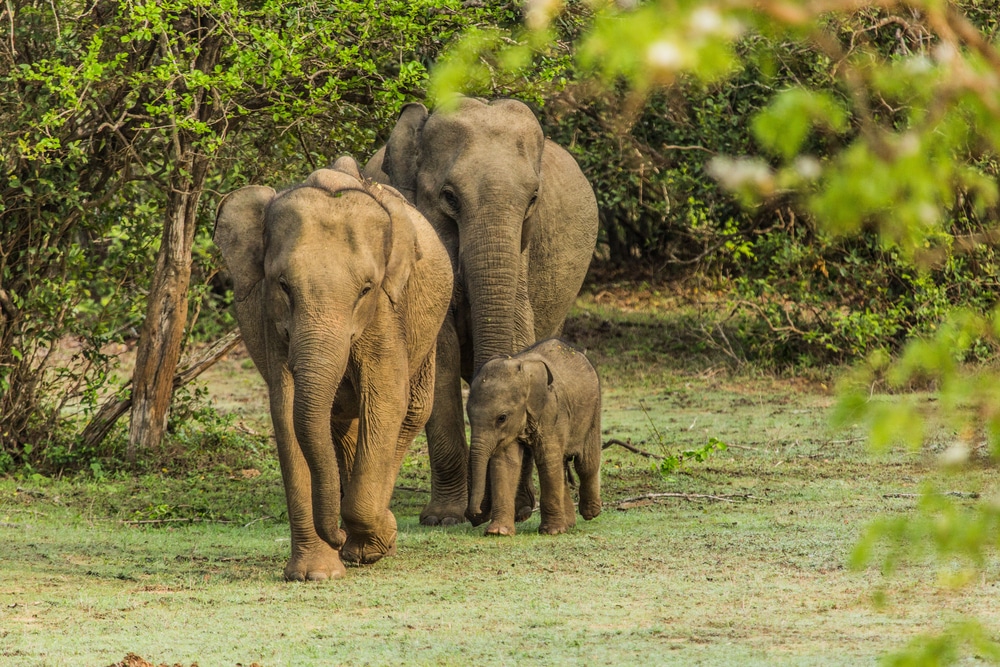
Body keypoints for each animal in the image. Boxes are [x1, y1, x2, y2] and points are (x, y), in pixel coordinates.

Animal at [220, 157, 458, 580]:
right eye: (283, 285)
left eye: (365, 289)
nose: (336, 535)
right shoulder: (270, 318)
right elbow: (287, 410)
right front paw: (315, 574)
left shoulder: (386, 311)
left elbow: (385, 399)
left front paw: (378, 539)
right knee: (340, 423)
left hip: (427, 327)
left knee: (411, 412)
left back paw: (371, 538)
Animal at [464, 340, 596, 536]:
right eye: (469, 415)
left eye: (502, 417)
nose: (475, 513)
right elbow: (506, 462)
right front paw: (498, 532)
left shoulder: (551, 411)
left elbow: (547, 459)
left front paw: (552, 532)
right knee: (563, 464)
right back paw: (569, 524)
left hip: (593, 411)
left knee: (586, 463)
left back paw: (590, 513)